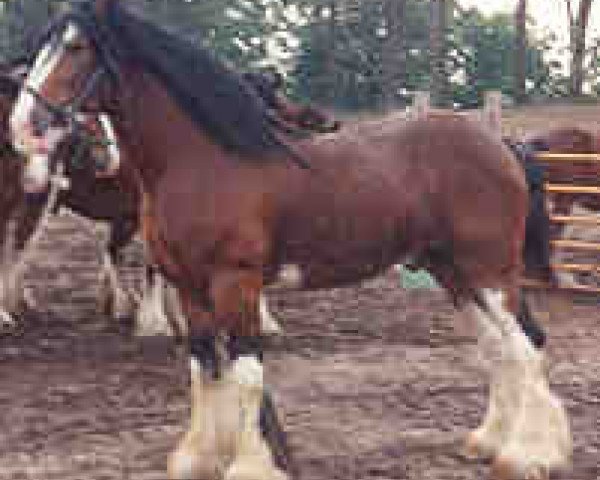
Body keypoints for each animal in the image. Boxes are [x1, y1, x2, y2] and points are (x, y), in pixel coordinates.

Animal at [9, 0, 568, 480]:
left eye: (77, 48)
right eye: (39, 49)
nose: (21, 127)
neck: (203, 162)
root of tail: (499, 142)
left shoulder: (235, 282)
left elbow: (246, 374)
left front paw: (251, 465)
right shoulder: (189, 287)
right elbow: (203, 367)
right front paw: (198, 459)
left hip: (489, 269)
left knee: (526, 345)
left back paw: (528, 456)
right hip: (451, 271)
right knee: (498, 348)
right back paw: (489, 442)